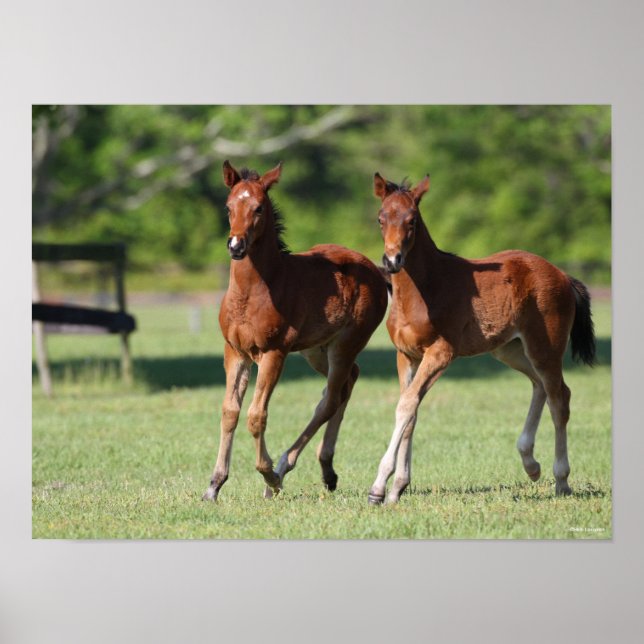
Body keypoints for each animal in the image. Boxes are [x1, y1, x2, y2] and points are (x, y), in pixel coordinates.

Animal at [203, 161, 388, 501]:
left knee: (331, 398)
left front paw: (268, 476)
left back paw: (282, 469)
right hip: (315, 349)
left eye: (259, 208)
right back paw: (327, 470)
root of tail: (374, 269)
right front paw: (214, 485)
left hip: (346, 343)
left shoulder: (274, 352)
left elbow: (256, 415)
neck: (253, 292)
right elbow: (229, 412)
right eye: (228, 206)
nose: (236, 245)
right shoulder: (234, 351)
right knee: (346, 383)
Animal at [367, 172, 596, 505]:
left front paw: (379, 487)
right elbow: (411, 412)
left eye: (412, 220)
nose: (392, 260)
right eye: (381, 218)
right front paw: (398, 488)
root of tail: (563, 275)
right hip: (509, 349)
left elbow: (406, 406)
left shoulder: (441, 353)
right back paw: (531, 464)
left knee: (559, 398)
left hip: (546, 347)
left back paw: (561, 480)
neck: (424, 289)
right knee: (539, 385)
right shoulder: (406, 356)